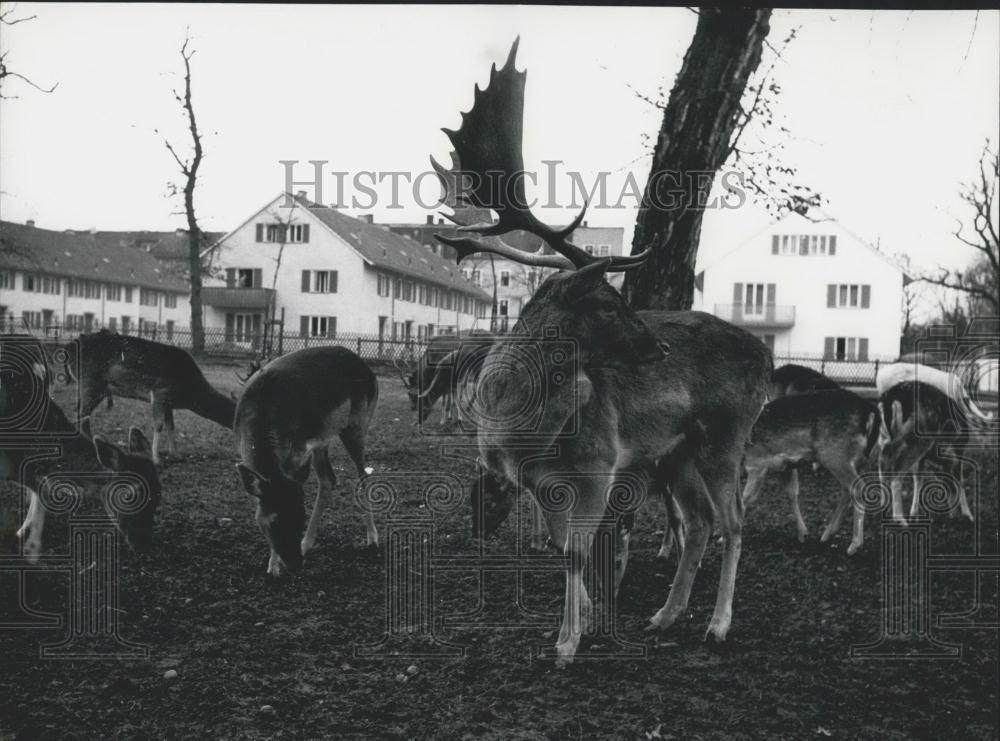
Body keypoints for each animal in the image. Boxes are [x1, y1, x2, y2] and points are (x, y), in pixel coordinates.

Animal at [68, 330, 236, 462]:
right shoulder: (159, 392)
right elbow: (159, 425)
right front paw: (156, 459)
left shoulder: (168, 403)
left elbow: (171, 425)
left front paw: (176, 454)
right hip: (90, 383)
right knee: (82, 415)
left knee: (79, 412)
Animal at [232, 346, 380, 580]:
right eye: (273, 523)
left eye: (301, 516)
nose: (295, 565)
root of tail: (369, 370)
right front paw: (274, 565)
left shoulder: (297, 452)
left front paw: (273, 567)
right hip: (322, 438)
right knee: (328, 479)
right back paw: (306, 545)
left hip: (358, 424)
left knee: (363, 475)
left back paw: (372, 539)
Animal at [432, 39, 772, 664]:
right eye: (610, 303)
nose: (659, 345)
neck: (519, 428)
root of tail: (767, 359)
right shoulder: (538, 481)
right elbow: (561, 547)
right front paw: (585, 618)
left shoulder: (596, 464)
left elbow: (576, 551)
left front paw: (569, 641)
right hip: (676, 453)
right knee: (699, 523)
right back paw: (665, 615)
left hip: (726, 434)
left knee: (734, 523)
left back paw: (718, 625)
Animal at [740, 390, 880, 552]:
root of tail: (870, 411)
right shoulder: (786, 466)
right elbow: (792, 493)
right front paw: (802, 534)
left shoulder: (757, 463)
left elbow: (745, 498)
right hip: (859, 461)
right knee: (848, 490)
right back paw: (827, 534)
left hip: (836, 456)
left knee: (858, 489)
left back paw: (854, 544)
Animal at [880, 382, 972, 520]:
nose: (953, 516)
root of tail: (891, 396)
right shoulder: (959, 448)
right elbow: (959, 478)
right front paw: (968, 515)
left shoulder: (925, 458)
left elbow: (918, 478)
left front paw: (914, 514)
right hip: (917, 439)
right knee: (896, 471)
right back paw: (899, 519)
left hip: (884, 438)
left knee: (883, 463)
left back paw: (882, 506)